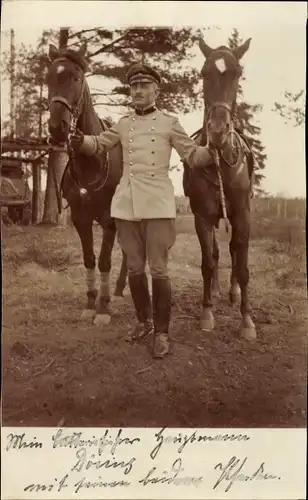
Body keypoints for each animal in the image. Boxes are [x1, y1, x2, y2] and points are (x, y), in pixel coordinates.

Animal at [45, 42, 127, 324]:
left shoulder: (110, 219)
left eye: (76, 78)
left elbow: (104, 261)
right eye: (48, 78)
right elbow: (90, 259)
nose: (56, 127)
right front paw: (91, 303)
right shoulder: (81, 217)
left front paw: (103, 309)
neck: (92, 158)